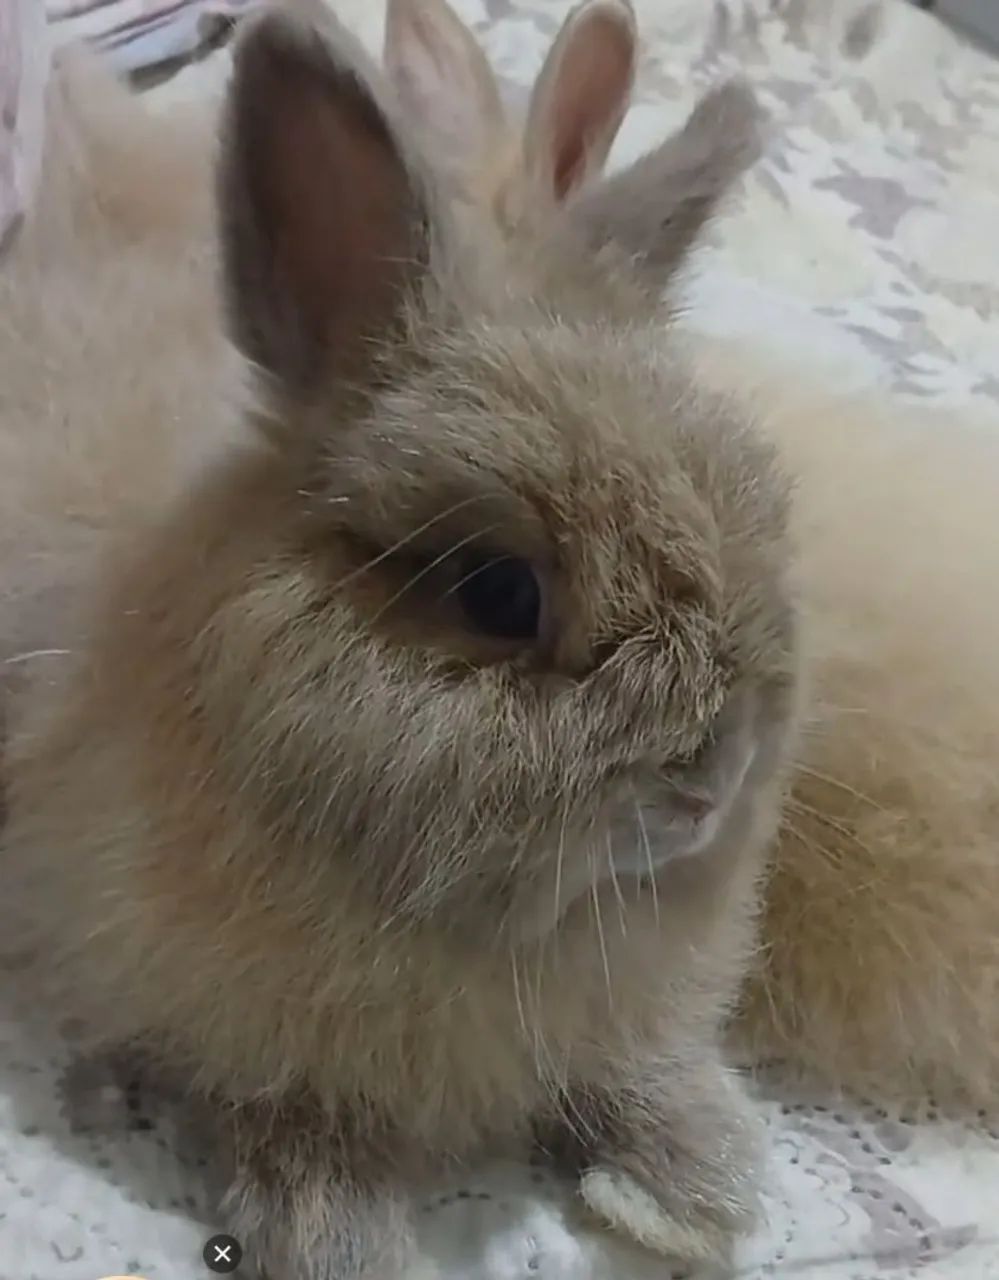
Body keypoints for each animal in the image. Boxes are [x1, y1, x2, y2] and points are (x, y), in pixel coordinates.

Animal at [0, 1, 801, 1276]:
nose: (709, 785)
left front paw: (697, 1183)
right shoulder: (239, 1032)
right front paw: (343, 1238)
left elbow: (635, 1065)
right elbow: (295, 1119)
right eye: (498, 594)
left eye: (758, 509)